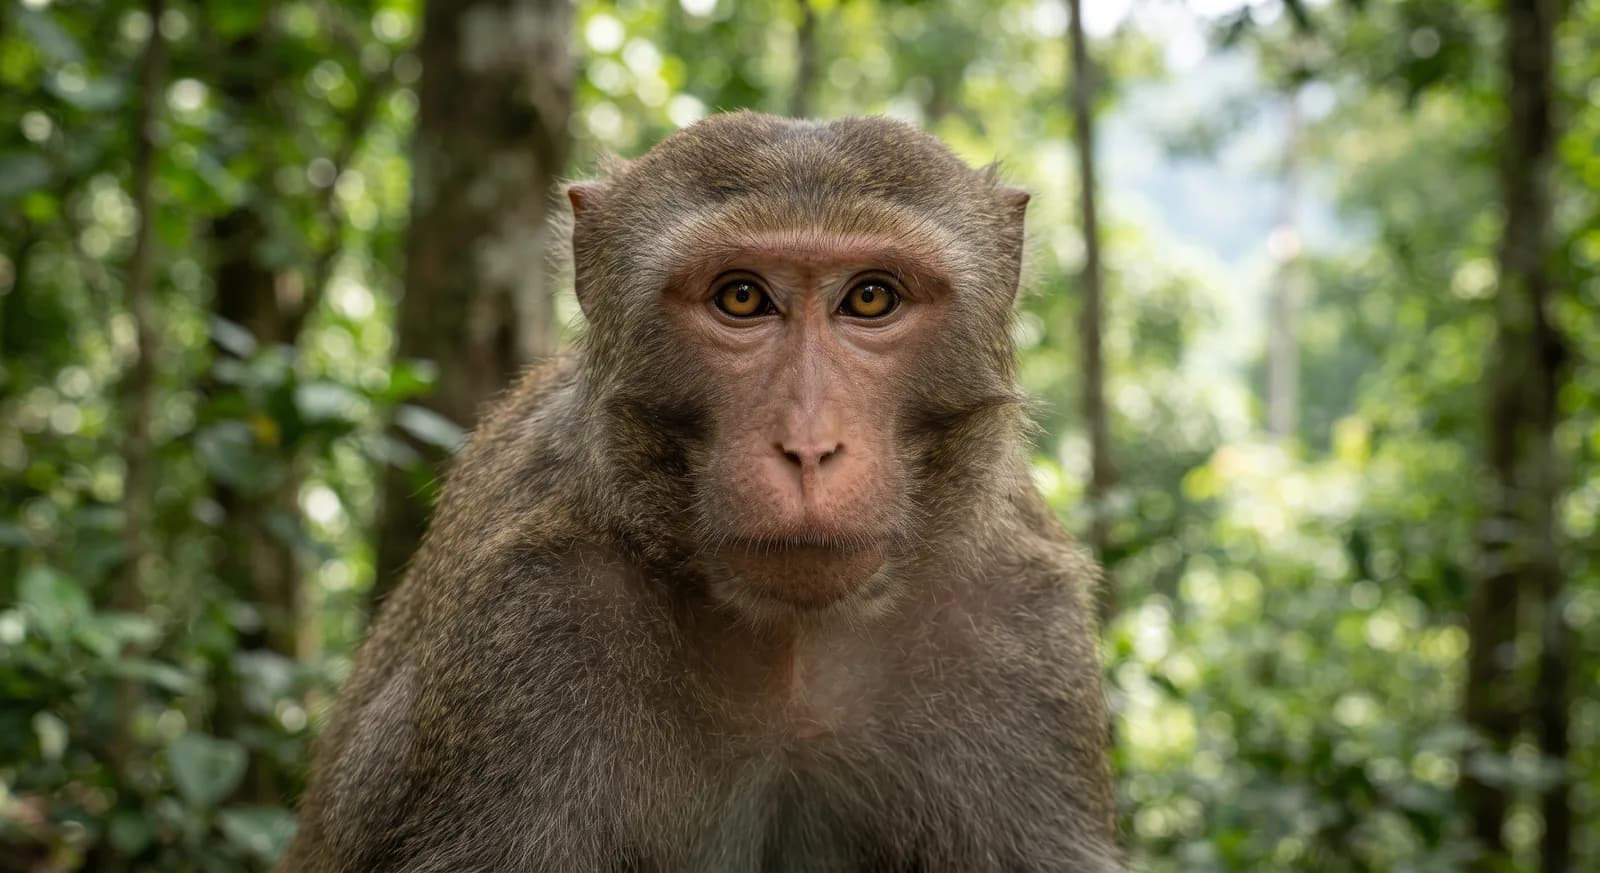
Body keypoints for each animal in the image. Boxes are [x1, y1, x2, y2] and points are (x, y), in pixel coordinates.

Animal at [282, 112, 1121, 873]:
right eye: (742, 297)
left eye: (871, 298)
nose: (809, 446)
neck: (794, 646)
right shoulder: (528, 619)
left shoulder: (1019, 622)